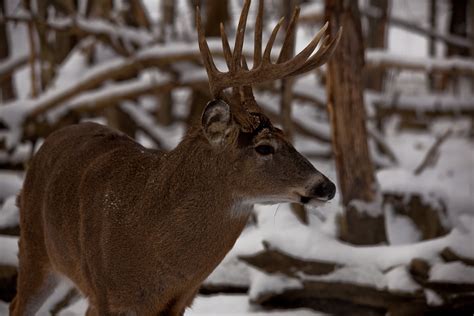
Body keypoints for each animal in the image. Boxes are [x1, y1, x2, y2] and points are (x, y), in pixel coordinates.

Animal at [9, 1, 338, 314]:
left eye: (285, 135)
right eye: (264, 147)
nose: (327, 186)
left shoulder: (178, 302)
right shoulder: (105, 294)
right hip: (34, 249)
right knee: (16, 303)